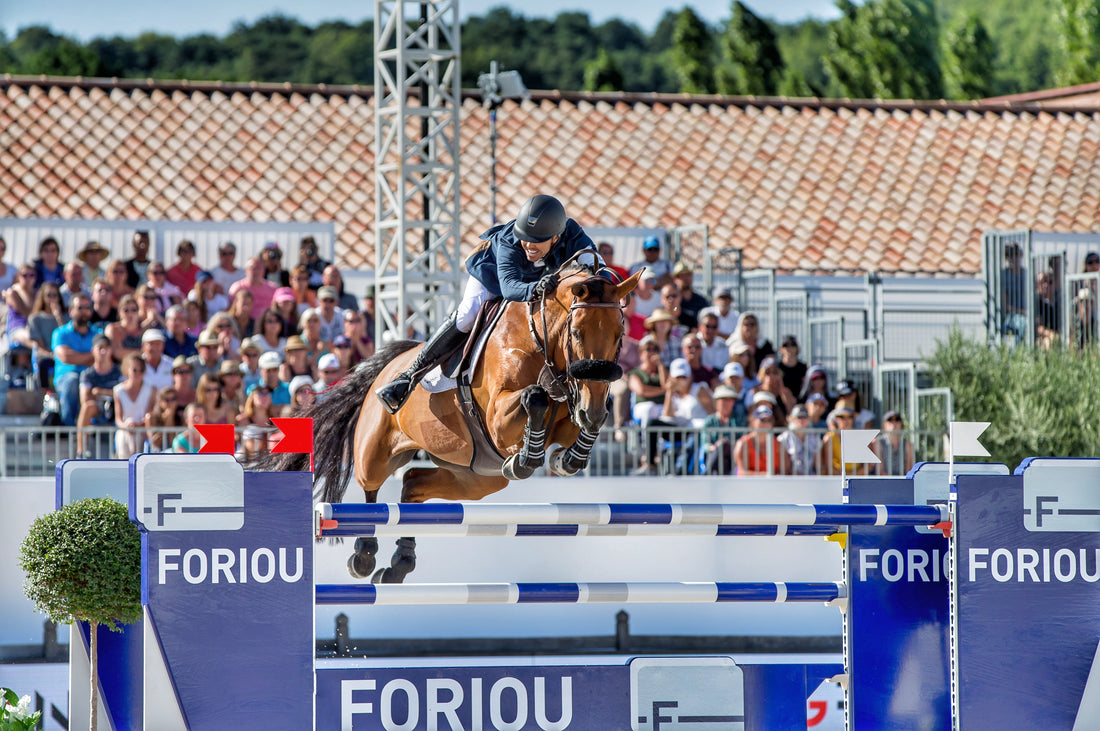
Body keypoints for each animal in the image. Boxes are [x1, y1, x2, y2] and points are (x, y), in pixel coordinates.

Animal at [260, 262, 642, 580]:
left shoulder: (568, 414)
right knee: (371, 488)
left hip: (475, 477)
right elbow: (534, 397)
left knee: (413, 484)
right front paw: (526, 458)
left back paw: (401, 563)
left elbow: (580, 425)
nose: (590, 409)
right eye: (576, 333)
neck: (540, 340)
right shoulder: (498, 419)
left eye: (619, 334)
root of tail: (385, 366)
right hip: (375, 450)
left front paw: (569, 457)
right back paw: (365, 555)